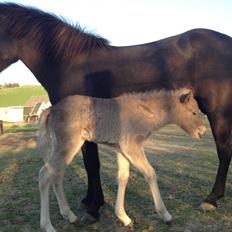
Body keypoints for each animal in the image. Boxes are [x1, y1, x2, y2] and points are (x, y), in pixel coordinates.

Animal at [38, 88, 207, 231]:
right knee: (45, 174)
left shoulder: (121, 149)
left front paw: (123, 217)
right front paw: (165, 215)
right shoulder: (132, 147)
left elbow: (123, 177)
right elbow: (150, 173)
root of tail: (52, 110)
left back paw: (70, 216)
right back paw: (48, 226)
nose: (203, 131)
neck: (144, 113)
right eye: (193, 113)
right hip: (67, 145)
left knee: (57, 175)